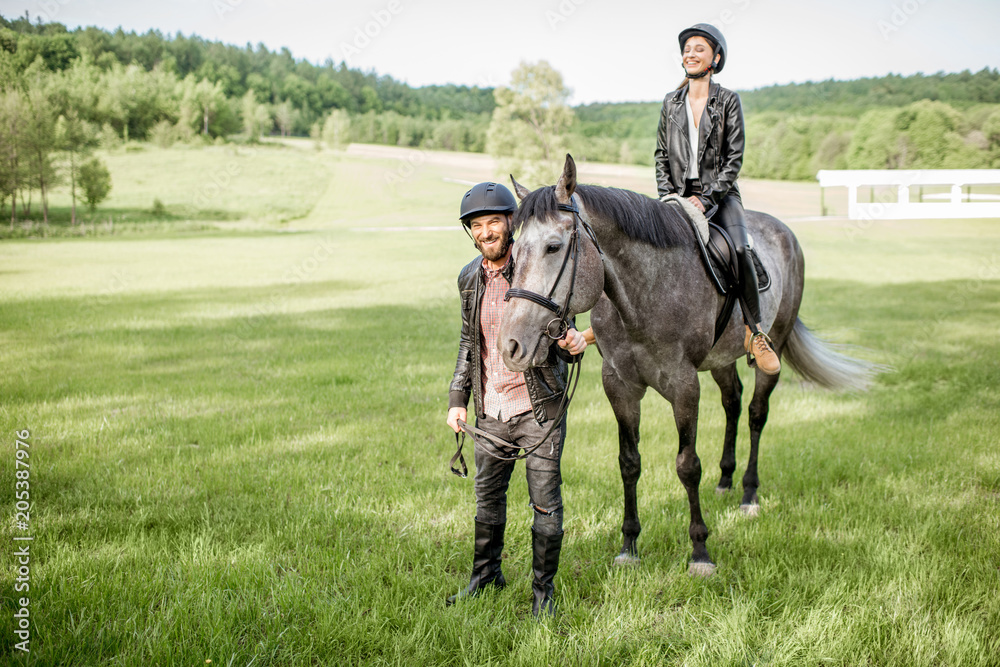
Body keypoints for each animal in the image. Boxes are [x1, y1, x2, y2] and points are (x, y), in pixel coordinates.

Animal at [500, 155, 876, 576]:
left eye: (553, 247)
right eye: (514, 253)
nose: (511, 345)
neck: (644, 293)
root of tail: (784, 233)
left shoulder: (684, 386)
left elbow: (687, 465)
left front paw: (700, 551)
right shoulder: (619, 385)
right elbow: (629, 462)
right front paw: (629, 544)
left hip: (772, 349)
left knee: (756, 413)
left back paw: (749, 494)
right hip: (721, 361)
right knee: (732, 403)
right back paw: (726, 480)